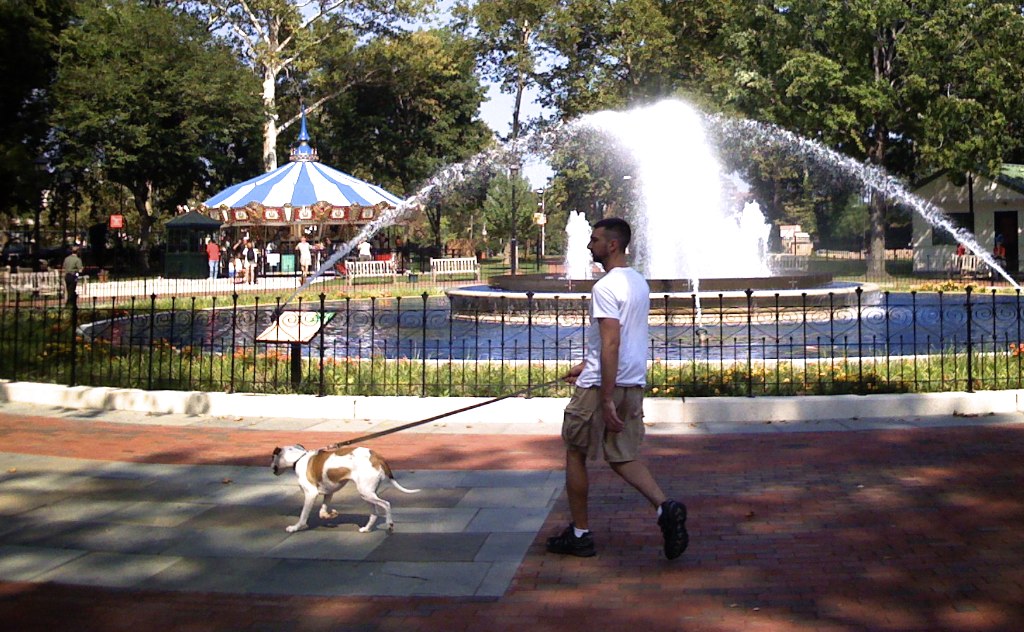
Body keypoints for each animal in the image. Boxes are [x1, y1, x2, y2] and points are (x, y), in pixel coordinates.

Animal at [272, 444, 419, 532]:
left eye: (272, 457)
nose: (272, 468)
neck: (299, 458)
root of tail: (377, 457)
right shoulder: (329, 492)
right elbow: (322, 509)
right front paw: (329, 515)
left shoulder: (311, 494)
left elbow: (303, 516)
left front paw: (295, 527)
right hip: (368, 494)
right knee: (374, 513)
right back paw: (366, 528)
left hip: (366, 493)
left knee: (386, 504)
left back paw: (390, 523)